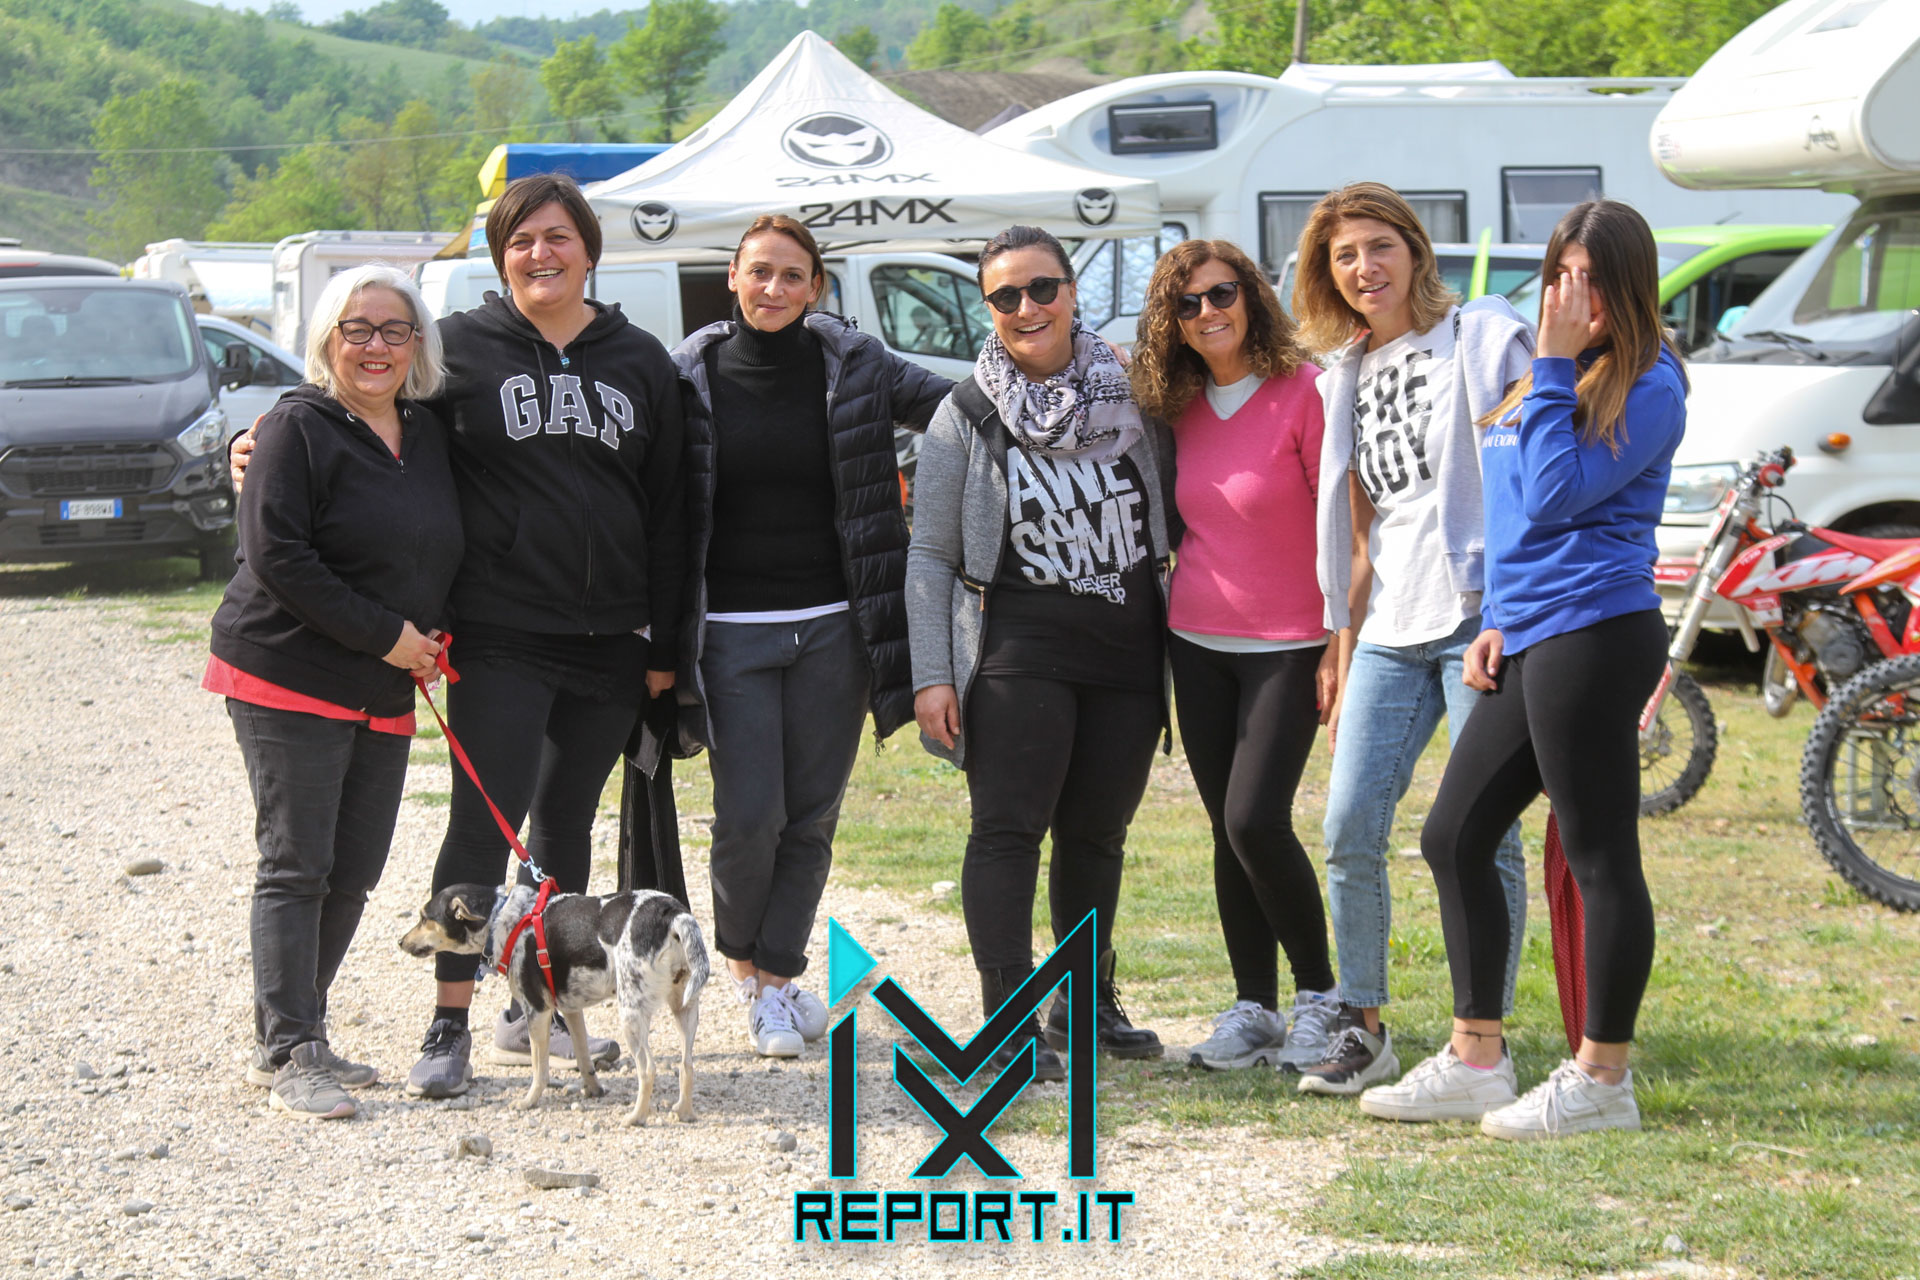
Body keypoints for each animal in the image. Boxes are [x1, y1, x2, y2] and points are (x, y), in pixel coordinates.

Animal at [400, 882, 708, 1124]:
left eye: (424, 918)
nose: (400, 942)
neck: (502, 919)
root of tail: (672, 913)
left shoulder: (536, 1011)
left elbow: (540, 1068)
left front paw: (528, 1102)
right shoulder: (571, 1009)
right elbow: (584, 1058)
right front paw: (594, 1090)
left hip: (631, 1014)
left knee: (648, 1069)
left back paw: (636, 1117)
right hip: (685, 1008)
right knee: (686, 1065)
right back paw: (684, 1112)